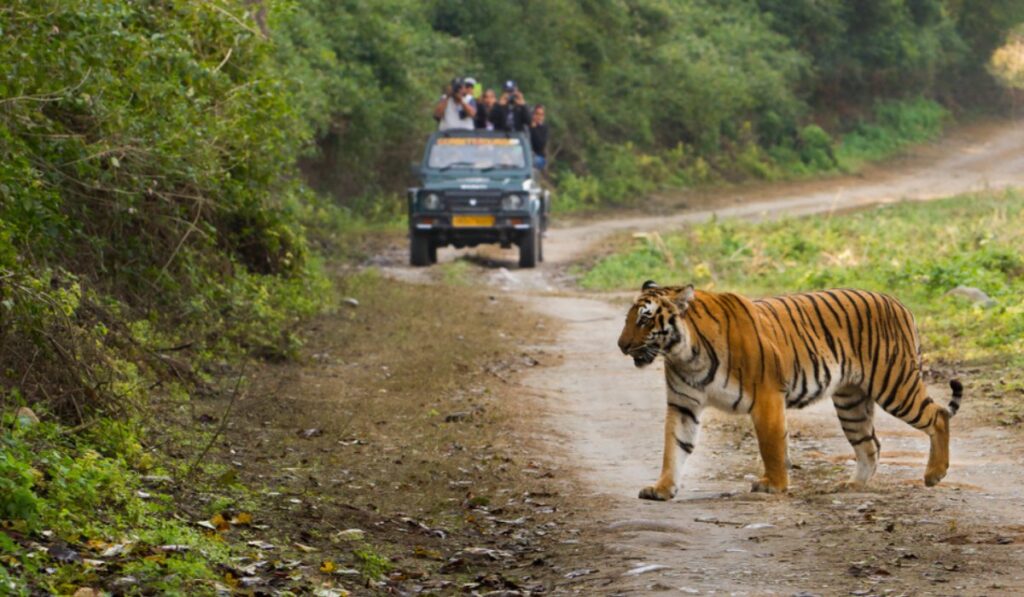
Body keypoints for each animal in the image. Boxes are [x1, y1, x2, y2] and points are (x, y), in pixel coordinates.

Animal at [618, 282, 962, 501]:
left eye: (645, 319)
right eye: (628, 318)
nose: (621, 345)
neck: (684, 354)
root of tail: (899, 303)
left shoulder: (767, 396)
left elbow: (771, 445)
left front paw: (774, 485)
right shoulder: (683, 405)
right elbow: (674, 447)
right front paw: (662, 489)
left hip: (894, 384)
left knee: (938, 416)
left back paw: (934, 474)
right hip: (851, 402)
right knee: (871, 445)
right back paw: (852, 486)